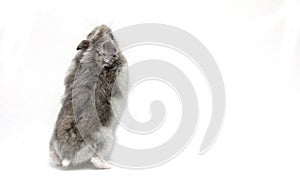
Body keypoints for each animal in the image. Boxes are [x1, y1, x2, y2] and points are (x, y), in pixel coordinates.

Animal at [49, 24, 127, 168]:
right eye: (112, 36)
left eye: (90, 32)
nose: (104, 26)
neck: (93, 54)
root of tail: (67, 156)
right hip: (107, 141)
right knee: (95, 160)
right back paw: (107, 165)